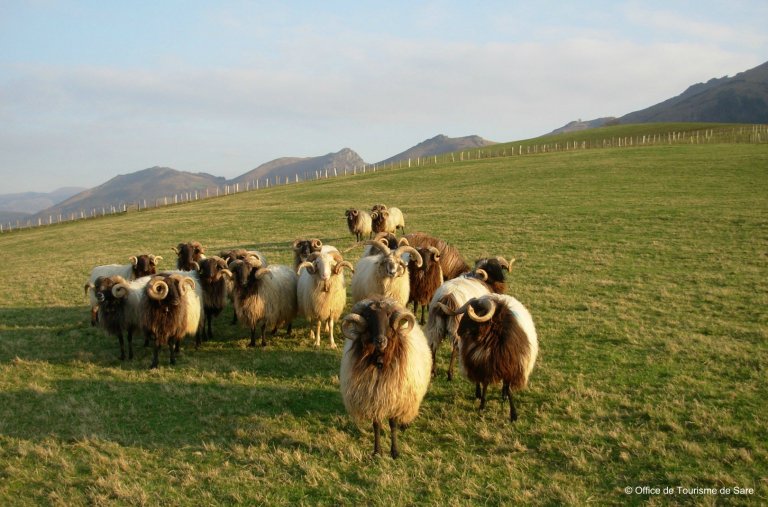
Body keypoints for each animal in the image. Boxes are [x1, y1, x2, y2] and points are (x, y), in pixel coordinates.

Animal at [339, 297, 432, 458]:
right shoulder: (374, 398)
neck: (380, 362)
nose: (380, 341)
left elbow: (393, 424)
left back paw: (405, 424)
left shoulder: (395, 398)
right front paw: (377, 451)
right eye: (368, 316)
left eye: (388, 315)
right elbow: (376, 425)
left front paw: (395, 452)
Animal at [437, 293, 538, 422]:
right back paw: (478, 394)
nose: (459, 332)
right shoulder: (484, 367)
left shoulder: (509, 367)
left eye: (478, 312)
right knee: (478, 381)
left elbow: (509, 389)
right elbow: (484, 385)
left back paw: (503, 395)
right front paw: (482, 406)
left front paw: (513, 414)